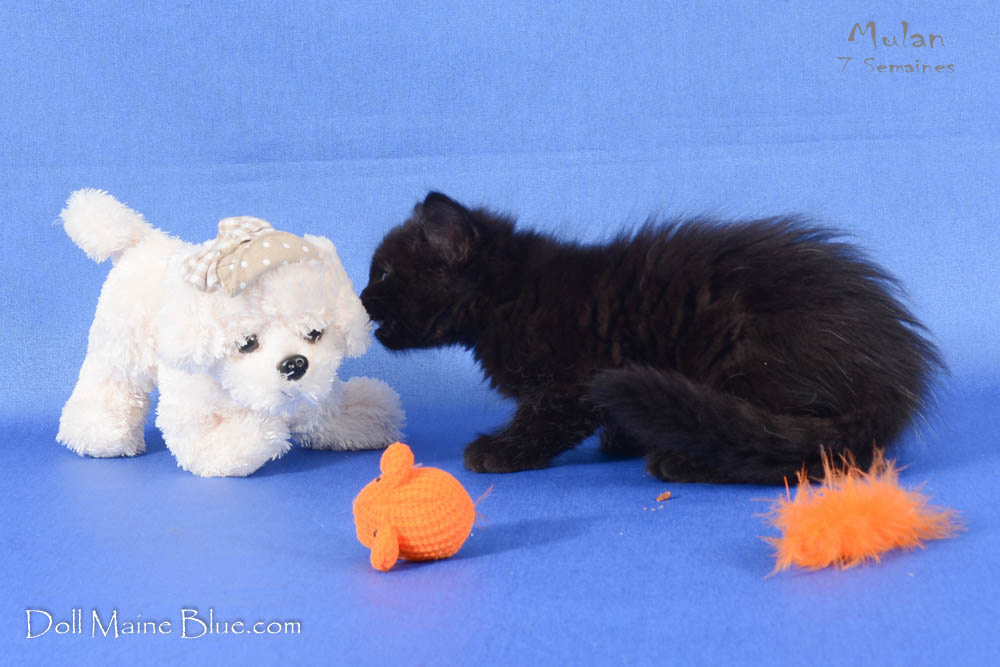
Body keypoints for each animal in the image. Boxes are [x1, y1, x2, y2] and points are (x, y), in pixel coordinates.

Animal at [360, 192, 941, 484]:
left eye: (383, 274)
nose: (361, 298)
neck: (513, 296)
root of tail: (893, 381)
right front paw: (624, 438)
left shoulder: (574, 380)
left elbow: (544, 420)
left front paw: (500, 450)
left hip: (751, 358)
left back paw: (683, 460)